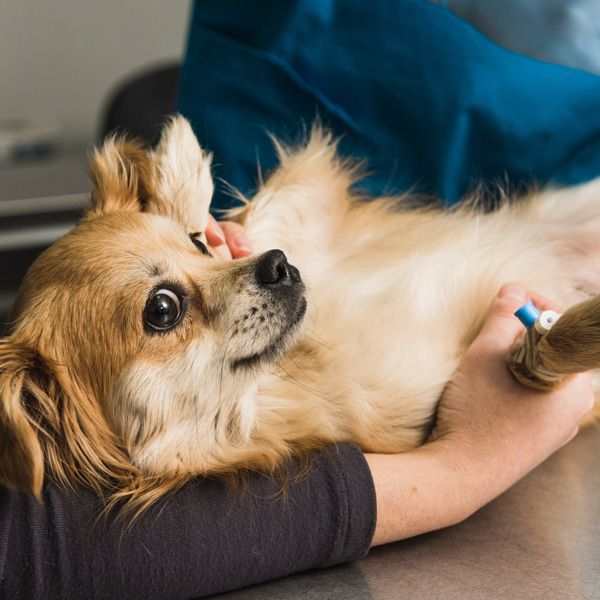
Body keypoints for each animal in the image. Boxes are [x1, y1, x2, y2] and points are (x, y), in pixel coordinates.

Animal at [1, 116, 600, 506]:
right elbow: (536, 354)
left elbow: (263, 211)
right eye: (162, 309)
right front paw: (580, 330)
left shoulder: (321, 229)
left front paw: (180, 170)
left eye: (197, 245)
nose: (279, 265)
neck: (294, 367)